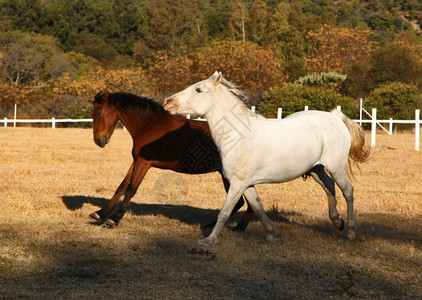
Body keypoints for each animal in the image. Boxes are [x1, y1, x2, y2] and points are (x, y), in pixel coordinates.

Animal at [89, 91, 254, 230]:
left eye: (99, 112)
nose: (99, 140)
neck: (150, 125)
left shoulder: (144, 163)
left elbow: (130, 190)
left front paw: (113, 220)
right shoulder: (136, 161)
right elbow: (121, 187)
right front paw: (100, 213)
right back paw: (232, 227)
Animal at [163, 71, 368, 245]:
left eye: (198, 89)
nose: (168, 102)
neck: (239, 136)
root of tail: (336, 118)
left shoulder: (237, 184)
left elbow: (224, 212)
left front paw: (209, 240)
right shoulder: (246, 184)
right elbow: (257, 207)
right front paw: (271, 233)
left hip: (337, 168)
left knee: (348, 192)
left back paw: (350, 231)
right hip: (316, 169)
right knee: (329, 187)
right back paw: (337, 222)